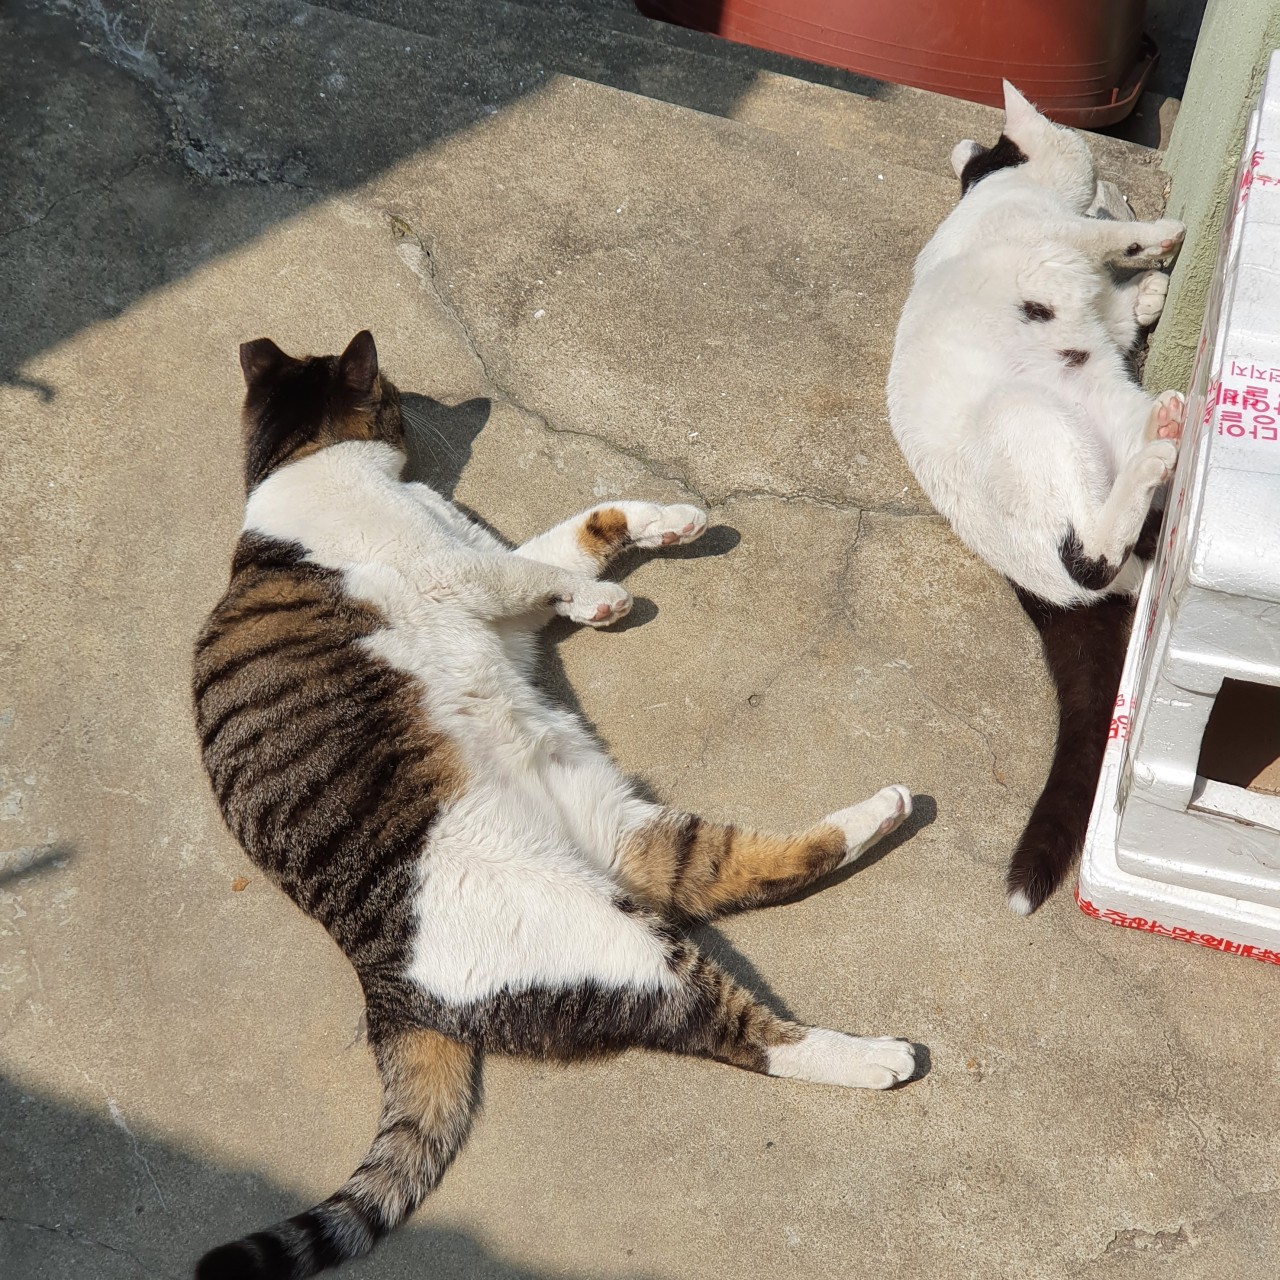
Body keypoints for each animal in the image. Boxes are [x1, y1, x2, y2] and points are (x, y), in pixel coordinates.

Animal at [193, 330, 918, 1279]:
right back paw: (875, 1058)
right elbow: (529, 568)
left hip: (610, 818)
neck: (303, 466)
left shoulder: (492, 585)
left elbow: (578, 531)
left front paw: (667, 522)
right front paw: (606, 598)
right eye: (393, 392)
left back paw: (884, 811)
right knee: (735, 1030)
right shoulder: (456, 571)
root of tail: (383, 987)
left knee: (725, 868)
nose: (417, 404)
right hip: (600, 933)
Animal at [886, 82, 1186, 916]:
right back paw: (1156, 454)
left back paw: (1162, 442)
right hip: (1030, 420)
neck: (988, 196)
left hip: (1104, 410)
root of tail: (1038, 589)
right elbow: (1107, 241)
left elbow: (1129, 309)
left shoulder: (1102, 311)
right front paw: (1158, 235)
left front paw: (1151, 285)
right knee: (1092, 554)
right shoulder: (1059, 235)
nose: (1122, 189)